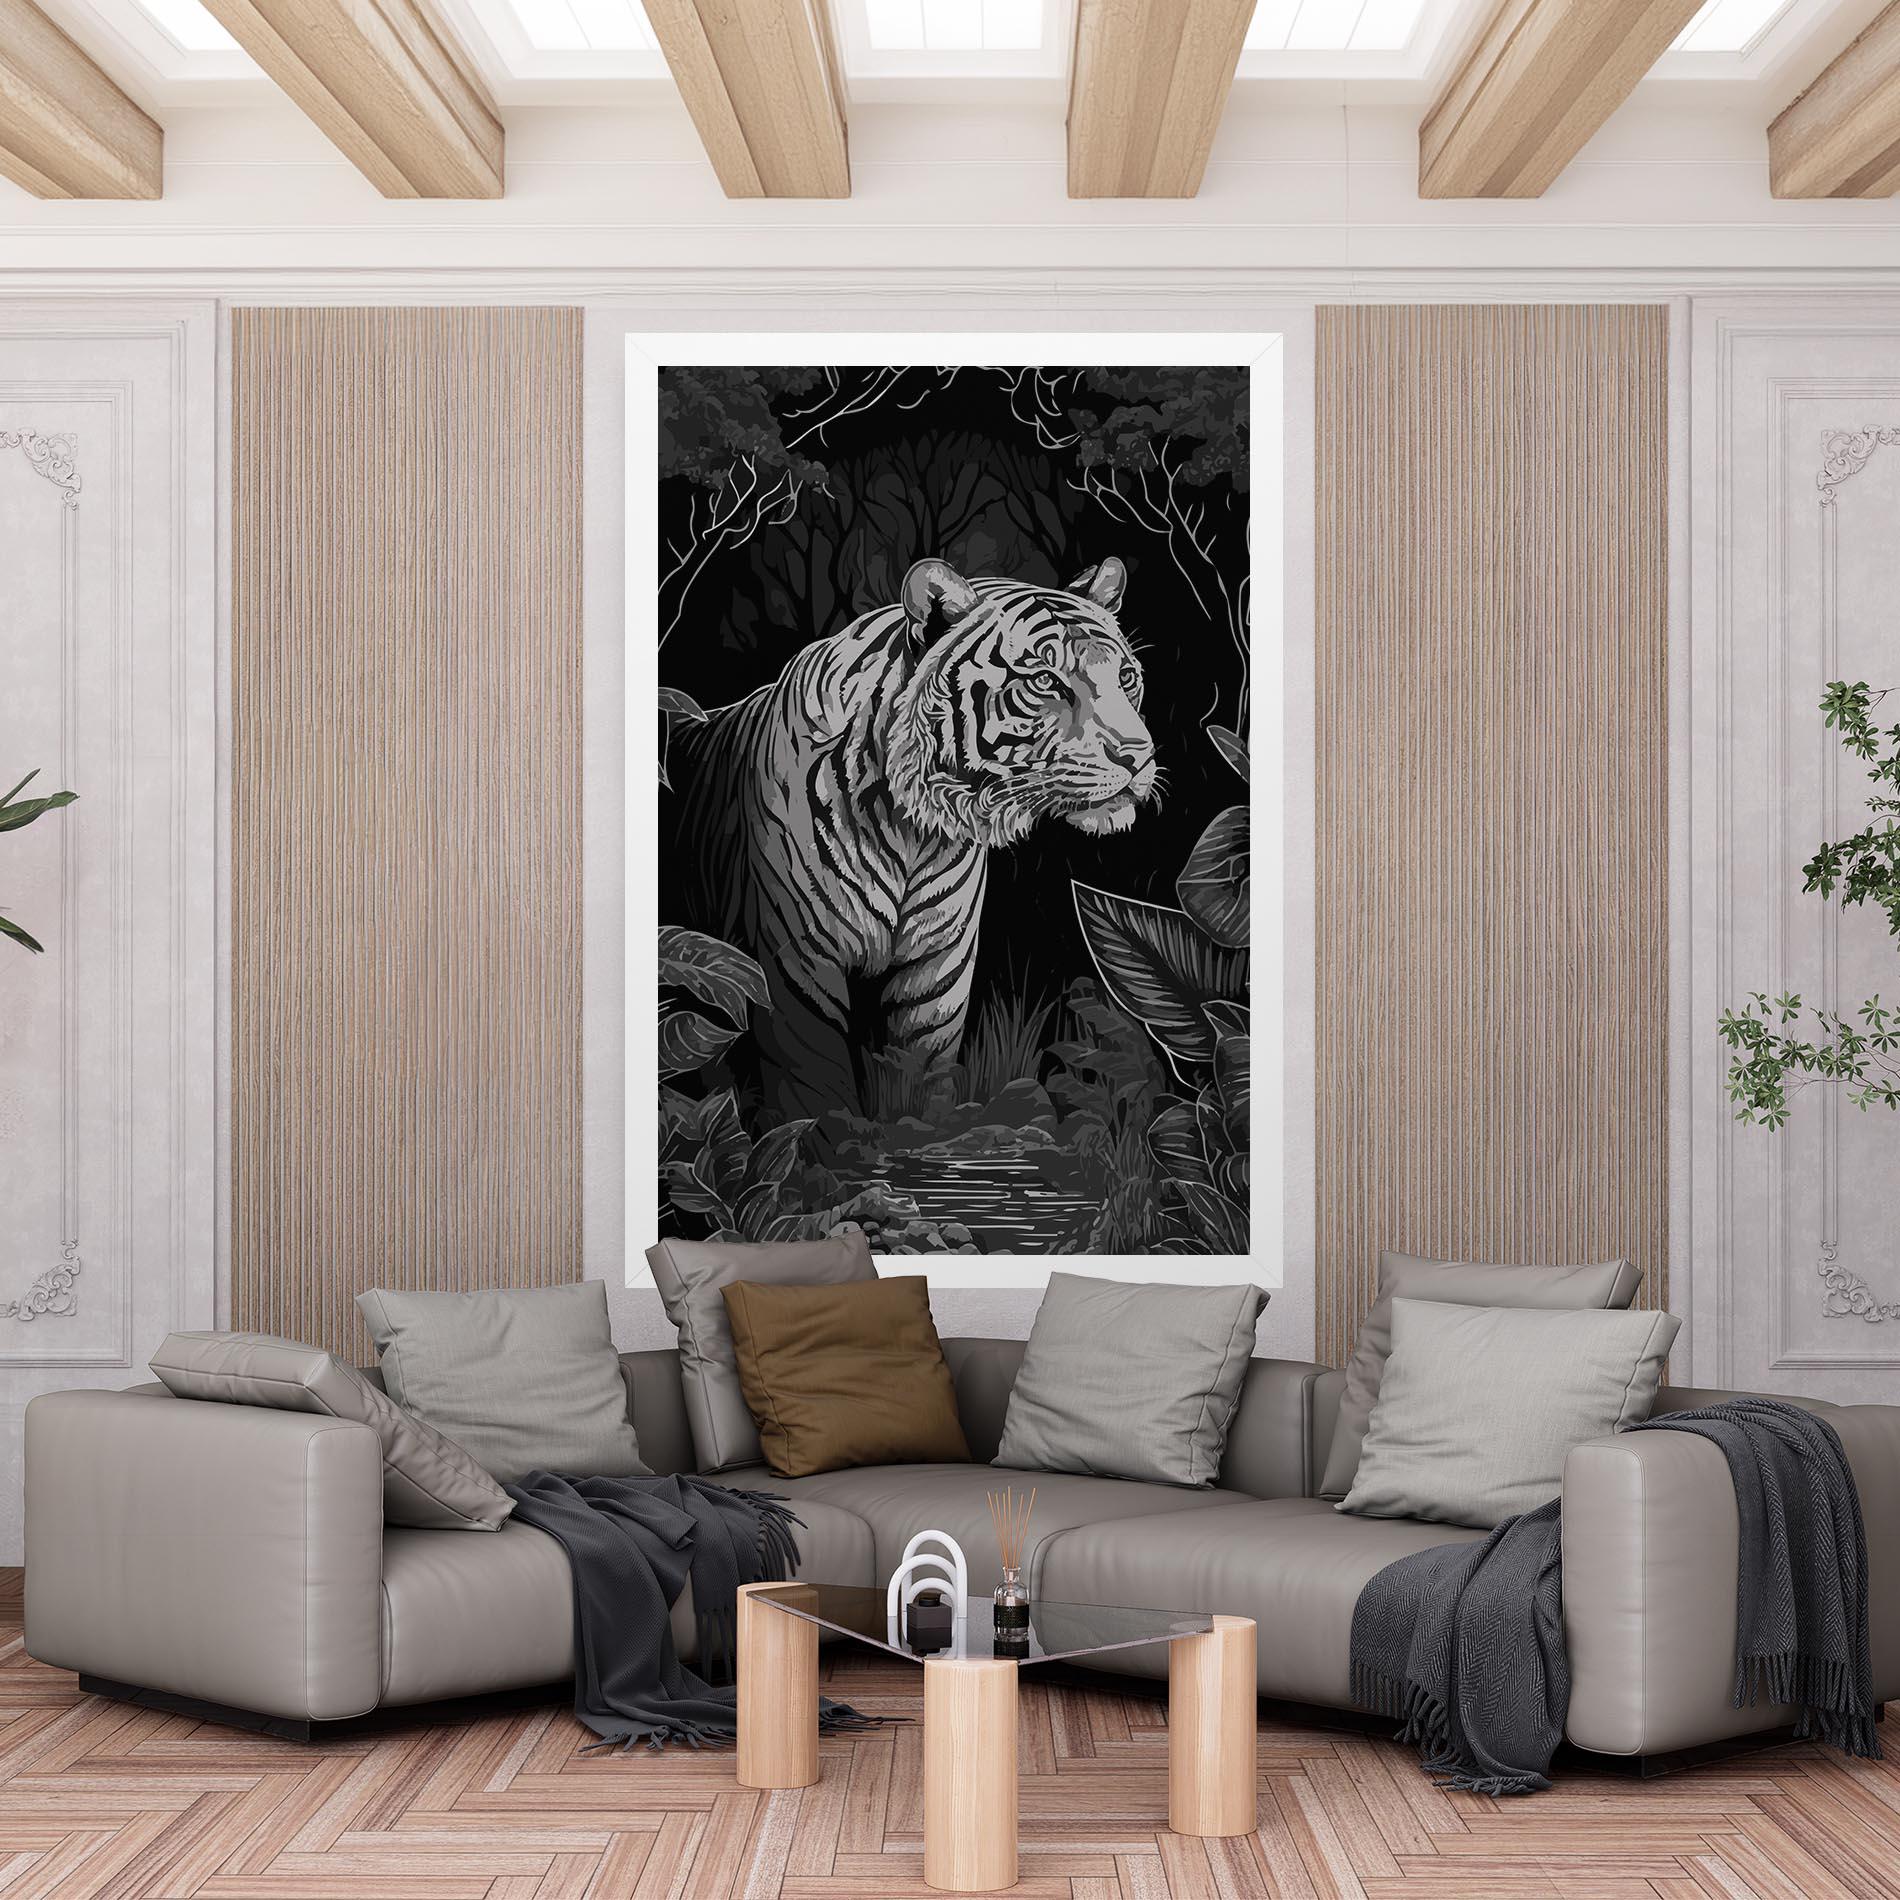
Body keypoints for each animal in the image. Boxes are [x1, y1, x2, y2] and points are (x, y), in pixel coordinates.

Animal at [668, 556, 1157, 1124]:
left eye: (1125, 677)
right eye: (1044, 680)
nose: (1138, 756)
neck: (913, 832)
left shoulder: (937, 971)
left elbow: (922, 1084)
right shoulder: (796, 969)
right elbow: (813, 1095)